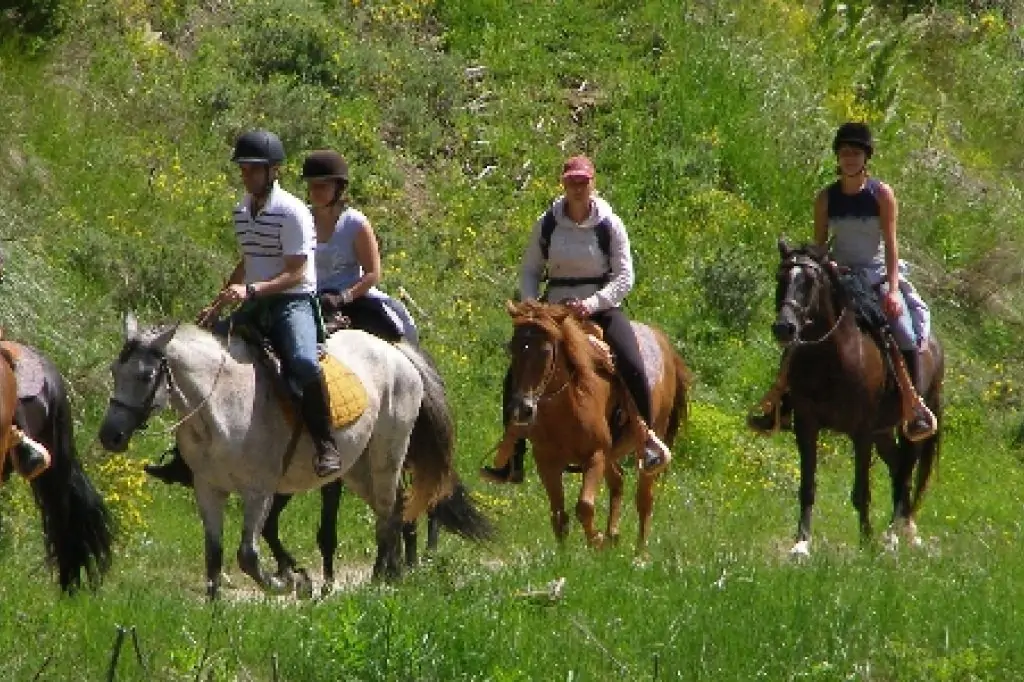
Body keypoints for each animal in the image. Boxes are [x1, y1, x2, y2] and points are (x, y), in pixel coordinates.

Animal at [96, 313, 464, 593]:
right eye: (114, 371)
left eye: (145, 376)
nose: (109, 436)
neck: (222, 405)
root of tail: (394, 351)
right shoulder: (208, 489)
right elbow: (213, 555)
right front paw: (216, 613)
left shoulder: (259, 491)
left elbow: (248, 555)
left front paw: (292, 582)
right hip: (357, 468)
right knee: (394, 508)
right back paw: (393, 573)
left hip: (386, 455)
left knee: (388, 512)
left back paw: (378, 582)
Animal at [770, 238, 937, 552]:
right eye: (780, 277)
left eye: (809, 281)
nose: (784, 327)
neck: (833, 357)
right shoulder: (806, 423)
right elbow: (807, 486)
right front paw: (801, 544)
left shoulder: (862, 432)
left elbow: (862, 491)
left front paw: (866, 542)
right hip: (883, 433)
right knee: (899, 469)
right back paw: (903, 532)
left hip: (907, 429)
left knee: (906, 472)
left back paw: (895, 536)